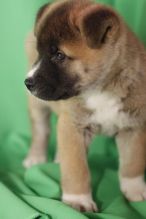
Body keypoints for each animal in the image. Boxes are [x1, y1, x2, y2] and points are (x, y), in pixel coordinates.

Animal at [24, 0, 146, 212]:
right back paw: (35, 157)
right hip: (38, 107)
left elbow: (133, 162)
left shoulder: (134, 126)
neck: (102, 89)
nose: (28, 82)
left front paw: (134, 189)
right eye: (40, 53)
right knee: (41, 130)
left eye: (59, 55)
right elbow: (76, 168)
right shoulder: (73, 126)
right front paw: (78, 200)